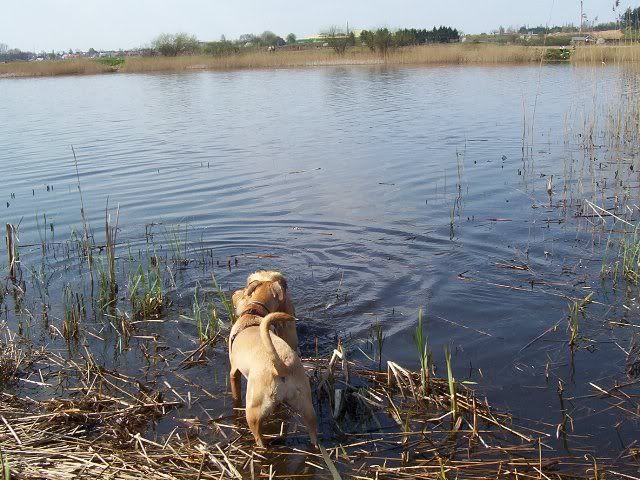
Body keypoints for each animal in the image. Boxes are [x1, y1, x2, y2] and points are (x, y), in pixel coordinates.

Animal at [229, 271, 317, 447]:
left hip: (253, 409)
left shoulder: (233, 371)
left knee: (259, 436)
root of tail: (280, 366)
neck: (254, 313)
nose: (234, 293)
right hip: (306, 405)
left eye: (244, 291)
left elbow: (235, 392)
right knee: (314, 435)